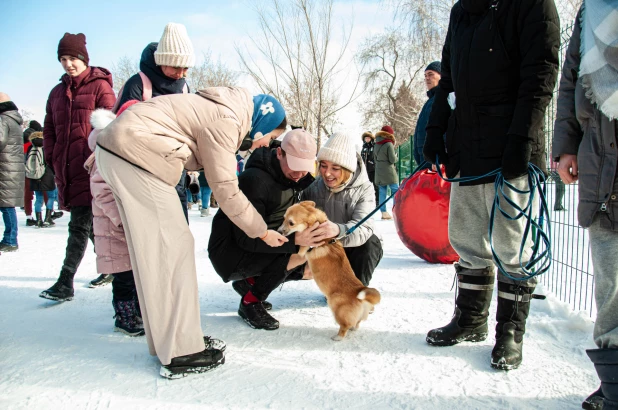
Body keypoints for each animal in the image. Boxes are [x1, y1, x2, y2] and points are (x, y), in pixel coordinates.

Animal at [278, 202, 376, 340]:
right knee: (356, 324)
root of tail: (360, 294)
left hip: (336, 308)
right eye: (284, 218)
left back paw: (338, 337)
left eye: (291, 223)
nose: (278, 231)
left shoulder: (302, 251)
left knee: (344, 326)